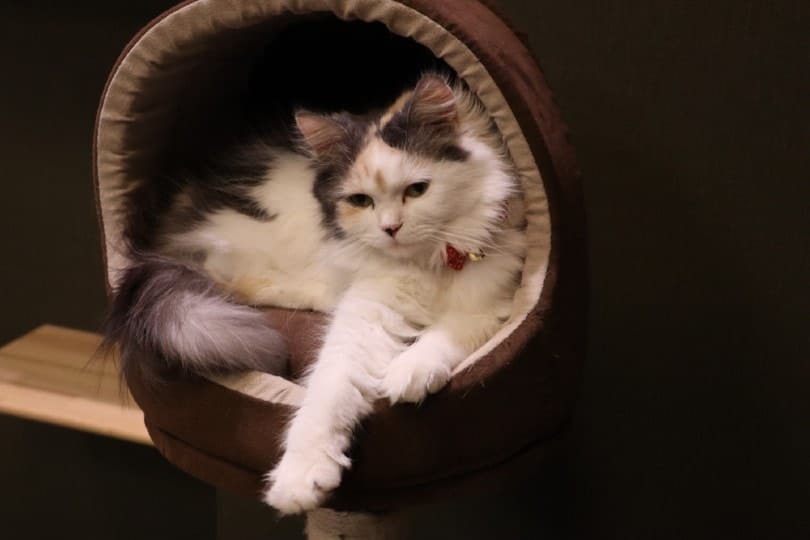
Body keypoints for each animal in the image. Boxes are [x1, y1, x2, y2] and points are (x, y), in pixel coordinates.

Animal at [104, 73, 528, 516]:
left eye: (417, 190)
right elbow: (327, 392)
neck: (428, 263)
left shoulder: (494, 298)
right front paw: (299, 480)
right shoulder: (367, 312)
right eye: (361, 200)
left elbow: (445, 334)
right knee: (231, 276)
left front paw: (409, 372)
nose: (390, 229)